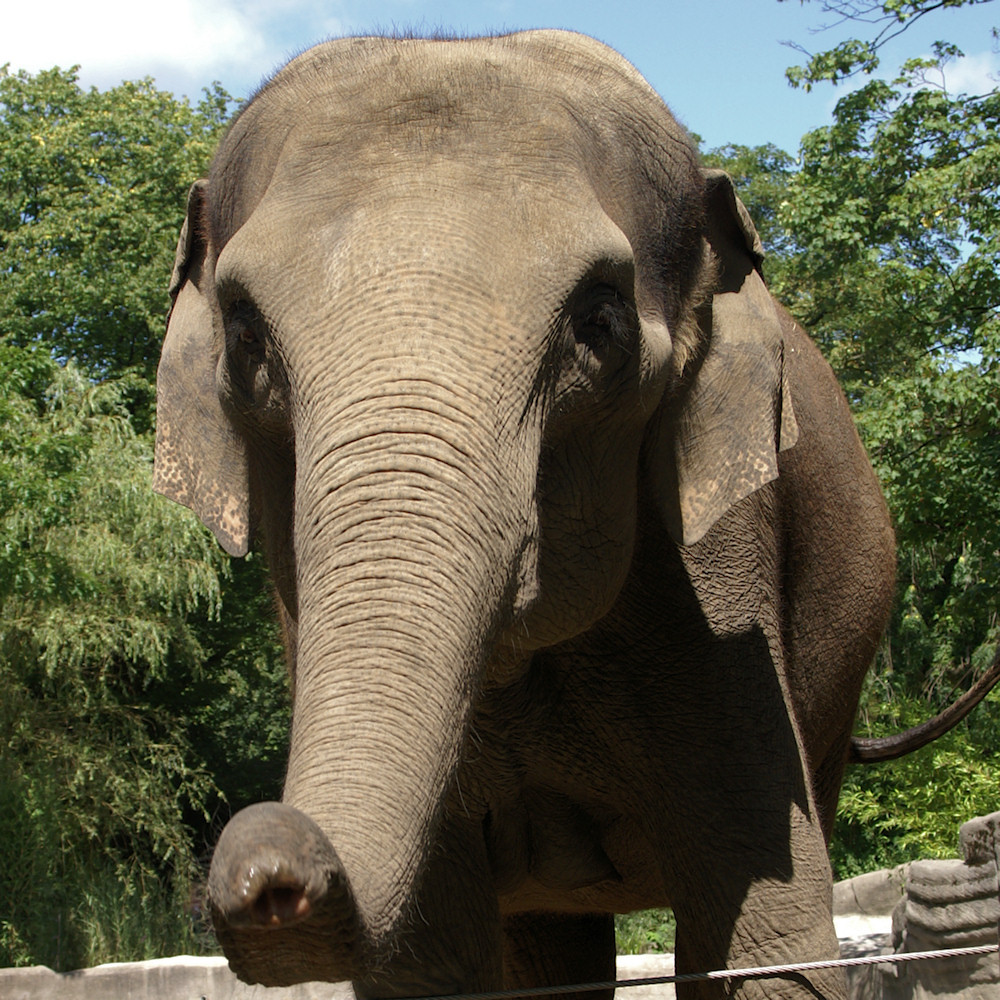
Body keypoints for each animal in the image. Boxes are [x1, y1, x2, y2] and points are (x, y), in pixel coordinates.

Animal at [154, 27, 900, 1000]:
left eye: (599, 324)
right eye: (245, 336)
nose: (269, 876)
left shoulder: (722, 582)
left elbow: (769, 938)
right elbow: (428, 962)